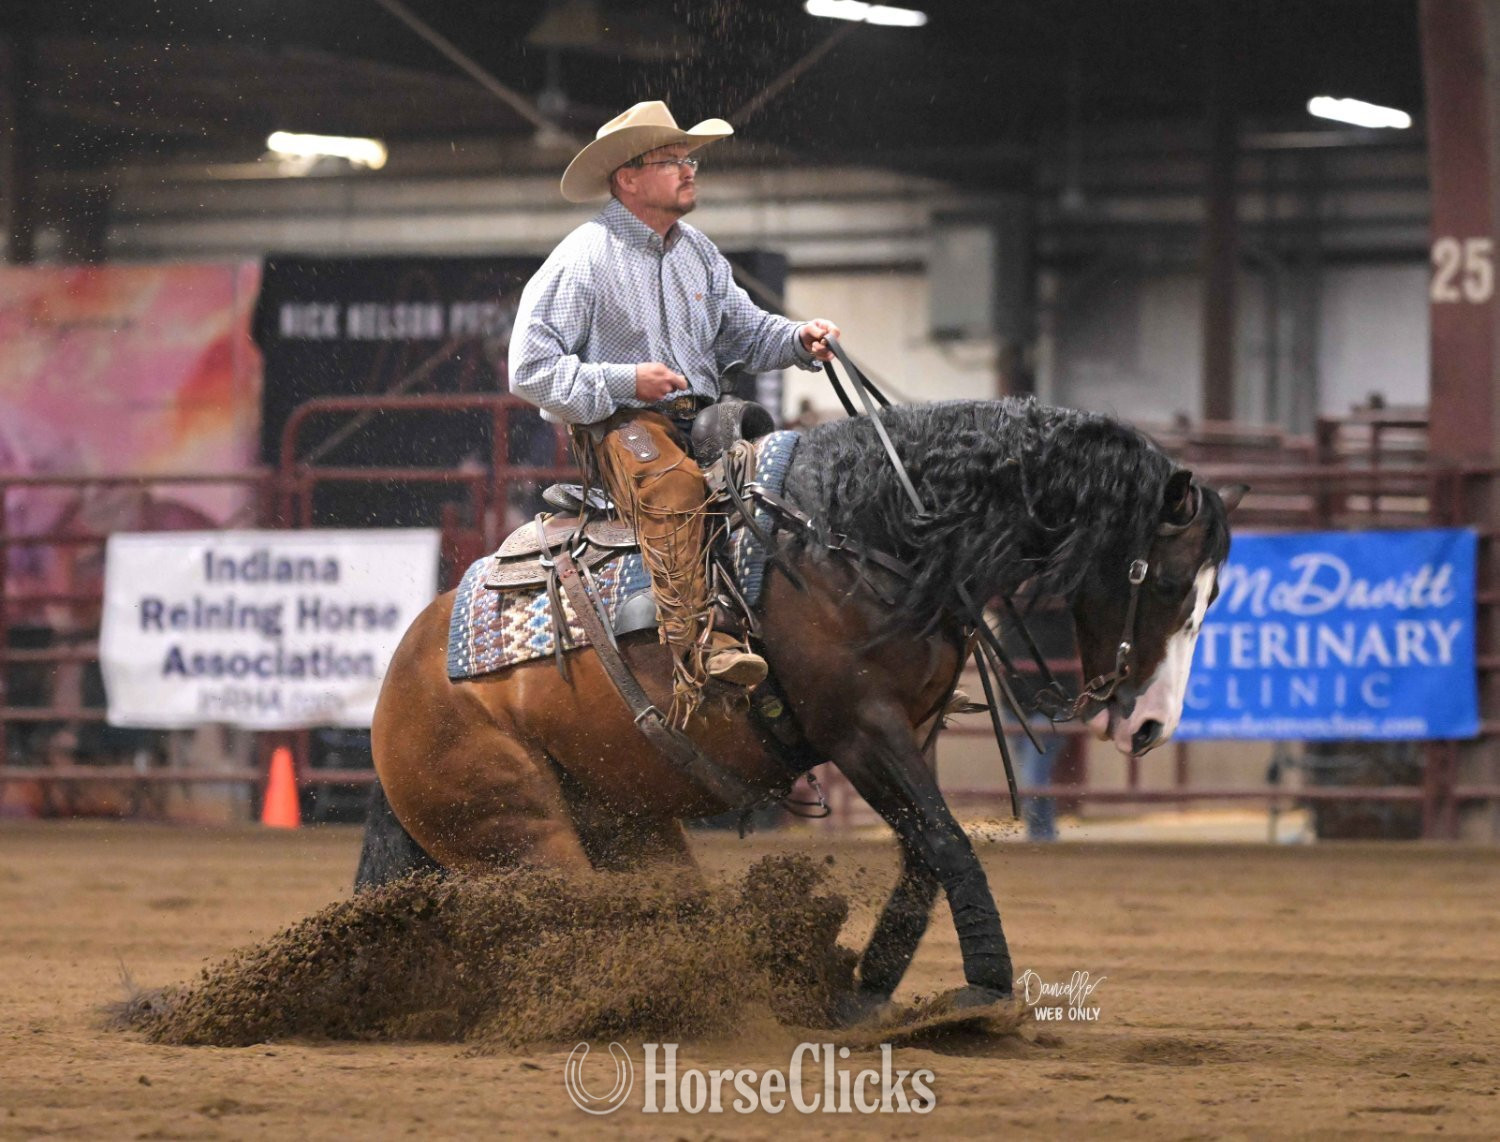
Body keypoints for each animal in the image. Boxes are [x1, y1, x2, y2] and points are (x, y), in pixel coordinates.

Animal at [360, 397, 1243, 1018]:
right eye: (1170, 583)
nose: (1150, 725)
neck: (866, 532)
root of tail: (401, 682)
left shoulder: (913, 732)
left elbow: (925, 852)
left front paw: (864, 993)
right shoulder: (859, 730)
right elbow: (949, 843)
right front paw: (985, 992)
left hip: (629, 826)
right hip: (523, 831)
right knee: (563, 918)